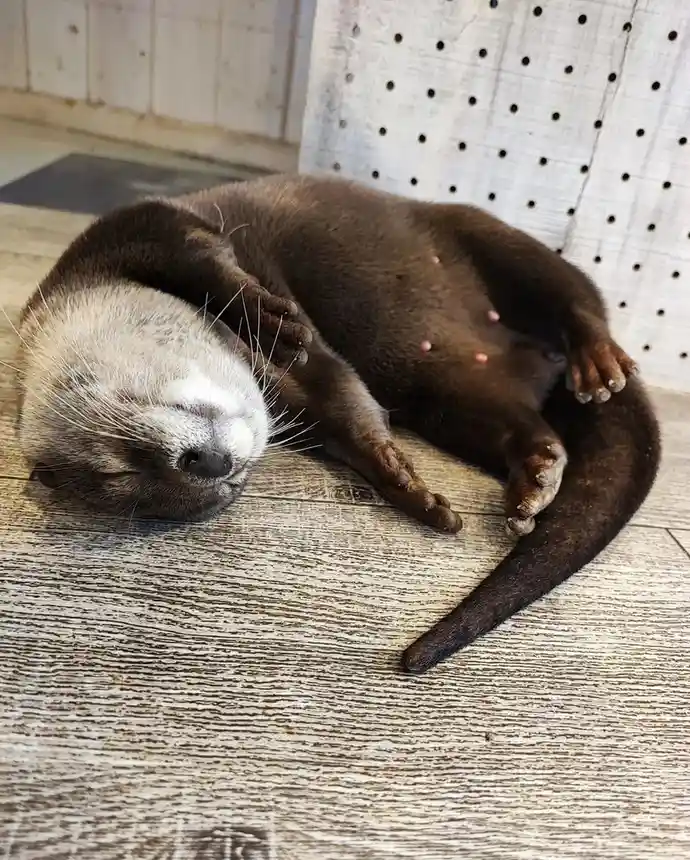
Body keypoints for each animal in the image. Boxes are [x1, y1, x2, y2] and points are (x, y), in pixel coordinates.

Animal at [16, 174, 661, 673]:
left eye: (120, 457)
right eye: (138, 489)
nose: (213, 467)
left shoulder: (135, 228)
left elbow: (201, 256)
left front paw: (273, 320)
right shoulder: (297, 398)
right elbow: (345, 410)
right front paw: (407, 486)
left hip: (496, 240)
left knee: (576, 296)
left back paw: (598, 358)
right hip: (450, 392)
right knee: (516, 422)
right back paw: (536, 475)